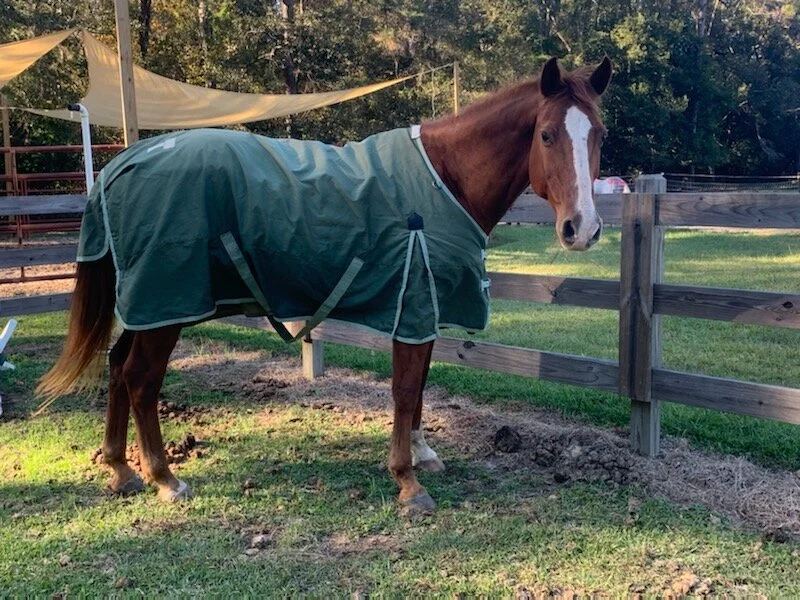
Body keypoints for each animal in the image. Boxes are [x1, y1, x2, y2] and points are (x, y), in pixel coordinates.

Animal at [37, 56, 611, 516]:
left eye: (599, 134)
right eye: (546, 135)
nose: (581, 229)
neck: (444, 180)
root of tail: (123, 163)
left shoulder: (421, 309)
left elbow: (421, 383)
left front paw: (423, 453)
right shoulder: (413, 304)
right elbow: (406, 389)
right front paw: (408, 482)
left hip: (150, 306)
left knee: (116, 367)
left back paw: (121, 470)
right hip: (166, 306)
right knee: (140, 378)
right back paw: (164, 478)